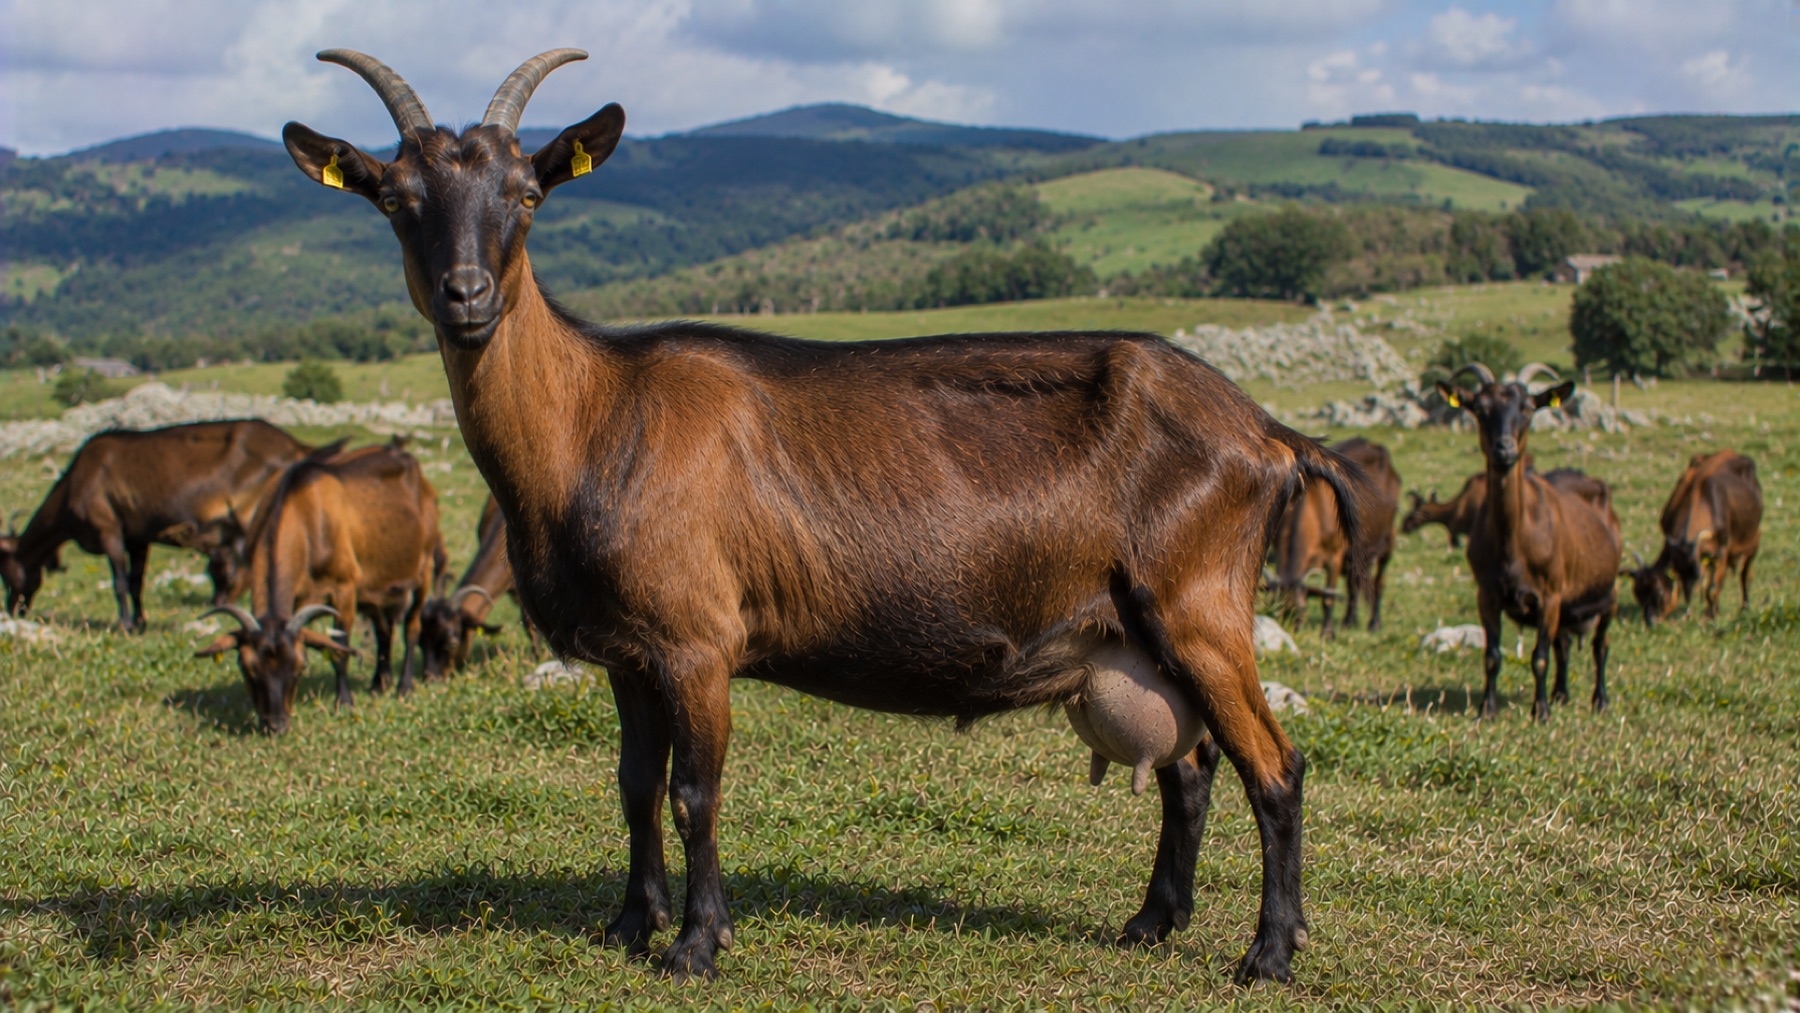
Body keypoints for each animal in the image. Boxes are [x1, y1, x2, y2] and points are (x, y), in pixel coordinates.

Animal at [0, 420, 309, 630]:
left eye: (5, 574)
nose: (12, 609)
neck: (76, 483)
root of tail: (296, 447)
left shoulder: (108, 528)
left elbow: (120, 581)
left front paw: (125, 624)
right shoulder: (137, 537)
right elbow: (136, 582)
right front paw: (140, 623)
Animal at [195, 440, 444, 733]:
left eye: (300, 667)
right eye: (247, 668)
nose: (276, 726)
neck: (303, 514)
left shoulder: (345, 587)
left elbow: (339, 649)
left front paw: (344, 702)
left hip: (424, 566)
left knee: (412, 626)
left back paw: (404, 687)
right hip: (374, 587)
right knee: (384, 630)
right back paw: (378, 684)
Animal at [1270, 437, 1400, 636]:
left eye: (1298, 610)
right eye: (1277, 610)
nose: (1291, 630)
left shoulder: (1336, 556)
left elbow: (1328, 596)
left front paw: (1327, 633)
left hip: (1387, 540)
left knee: (1378, 583)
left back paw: (1374, 623)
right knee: (1354, 582)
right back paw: (1349, 621)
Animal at [1438, 363, 1621, 720]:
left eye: (1526, 409)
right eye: (1480, 409)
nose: (1505, 450)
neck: (1514, 543)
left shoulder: (1549, 595)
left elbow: (1539, 657)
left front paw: (1542, 711)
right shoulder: (1487, 595)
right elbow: (1492, 656)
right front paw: (1487, 708)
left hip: (1608, 594)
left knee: (1600, 645)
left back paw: (1600, 700)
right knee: (1565, 645)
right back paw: (1561, 693)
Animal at [1625, 450, 1761, 625]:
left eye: (1659, 593)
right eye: (1638, 594)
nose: (1651, 622)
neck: (1702, 497)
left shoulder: (1722, 551)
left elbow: (1713, 588)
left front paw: (1711, 616)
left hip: (1753, 540)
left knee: (1744, 575)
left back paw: (1744, 607)